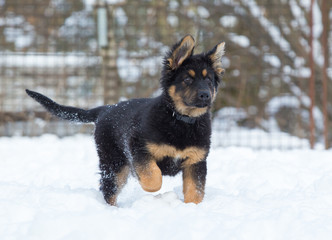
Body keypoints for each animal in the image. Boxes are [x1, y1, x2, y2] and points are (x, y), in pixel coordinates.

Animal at [25, 34, 226, 205]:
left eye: (209, 81)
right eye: (187, 80)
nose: (205, 95)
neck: (181, 120)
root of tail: (106, 109)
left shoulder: (196, 161)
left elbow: (195, 190)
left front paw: (192, 208)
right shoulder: (138, 148)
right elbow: (153, 176)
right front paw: (148, 184)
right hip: (114, 164)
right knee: (109, 189)